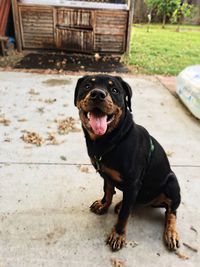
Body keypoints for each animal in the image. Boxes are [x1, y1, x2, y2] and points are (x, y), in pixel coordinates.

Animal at [74, 74, 180, 252]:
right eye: (87, 86)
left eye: (115, 90)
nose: (98, 94)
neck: (112, 140)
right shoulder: (107, 174)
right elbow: (108, 190)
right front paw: (104, 205)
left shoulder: (133, 183)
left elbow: (124, 215)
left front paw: (118, 235)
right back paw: (121, 204)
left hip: (172, 182)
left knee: (171, 212)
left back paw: (171, 233)